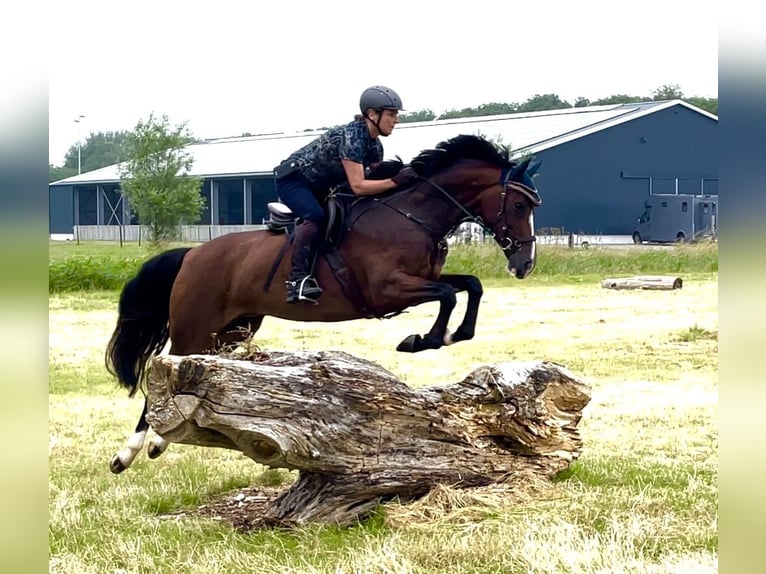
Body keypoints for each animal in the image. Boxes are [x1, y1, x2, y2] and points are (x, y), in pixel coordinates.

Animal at [105, 134, 543, 474]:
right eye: (520, 206)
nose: (524, 264)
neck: (412, 215)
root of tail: (192, 254)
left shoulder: (424, 278)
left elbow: (471, 286)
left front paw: (451, 335)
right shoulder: (388, 289)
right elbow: (450, 294)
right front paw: (422, 340)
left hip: (233, 330)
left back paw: (160, 441)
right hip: (194, 327)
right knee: (158, 374)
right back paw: (127, 454)